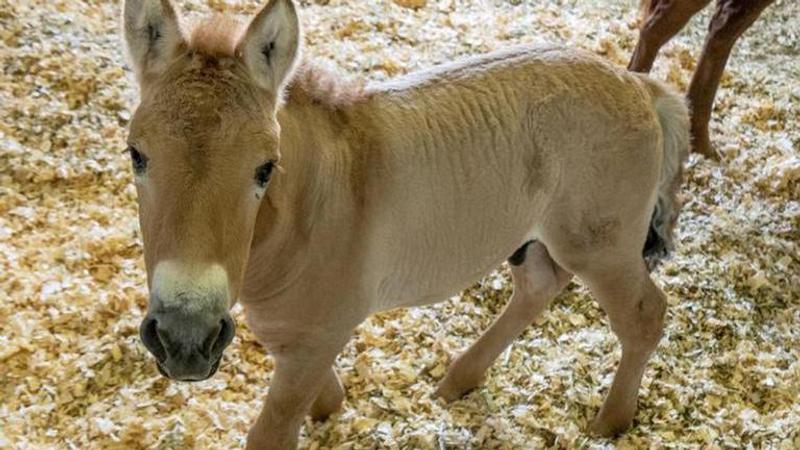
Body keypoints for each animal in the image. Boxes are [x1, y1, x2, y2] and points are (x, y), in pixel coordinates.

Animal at [122, 0, 692, 448]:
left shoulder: (318, 334)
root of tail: (639, 84)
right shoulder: (293, 332)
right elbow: (320, 393)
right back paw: (459, 379)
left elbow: (274, 431)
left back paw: (611, 421)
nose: (184, 339)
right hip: (535, 238)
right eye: (136, 155)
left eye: (265, 168)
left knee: (644, 314)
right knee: (539, 285)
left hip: (601, 247)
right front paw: (332, 409)